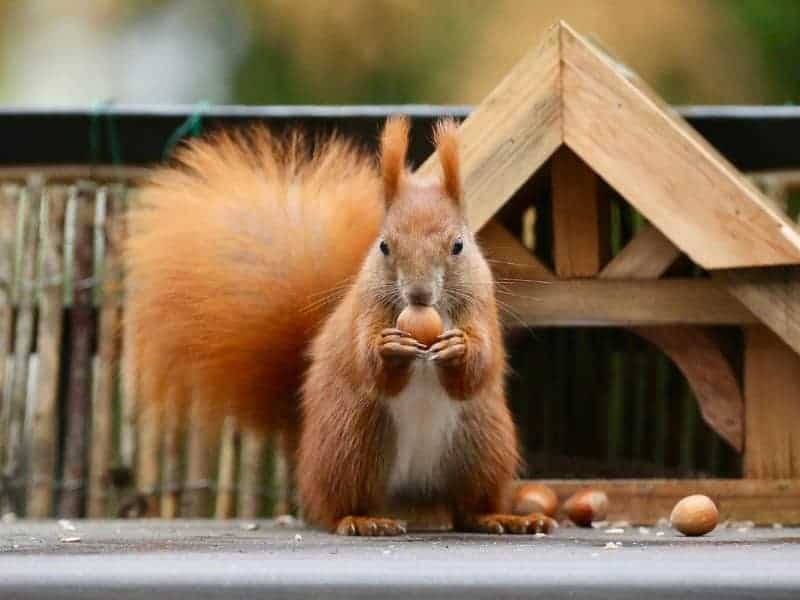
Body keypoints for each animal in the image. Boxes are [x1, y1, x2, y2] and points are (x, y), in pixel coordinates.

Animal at [123, 115, 556, 536]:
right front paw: (389, 348)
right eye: (384, 245)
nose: (418, 294)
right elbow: (370, 364)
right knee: (337, 506)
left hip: (482, 446)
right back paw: (362, 520)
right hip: (353, 442)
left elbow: (480, 367)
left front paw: (459, 348)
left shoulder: (482, 310)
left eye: (458, 246)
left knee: (468, 508)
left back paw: (503, 518)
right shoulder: (363, 312)